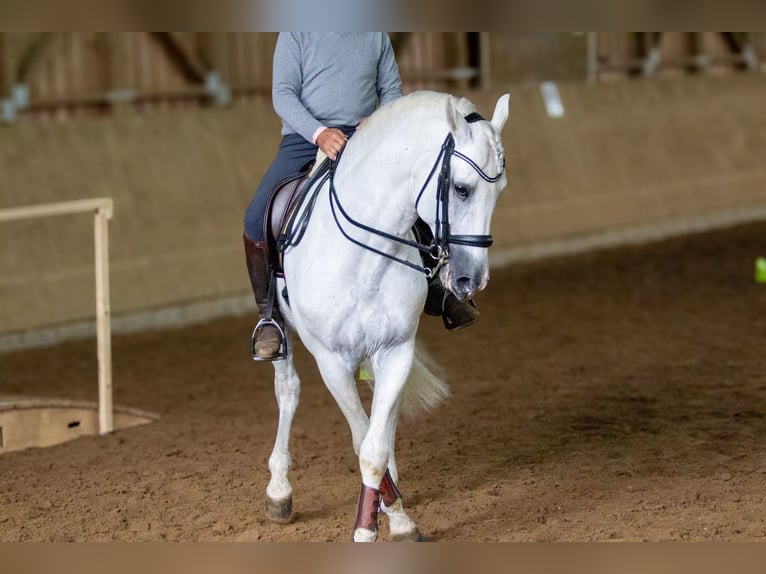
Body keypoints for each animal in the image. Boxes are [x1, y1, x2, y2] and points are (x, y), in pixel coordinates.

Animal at [264, 91, 510, 544]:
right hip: (283, 335)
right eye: (461, 189)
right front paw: (369, 527)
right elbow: (362, 439)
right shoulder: (333, 363)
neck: (366, 251)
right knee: (288, 390)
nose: (473, 279)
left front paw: (395, 518)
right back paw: (279, 491)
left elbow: (375, 446)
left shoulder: (396, 351)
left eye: (499, 190)